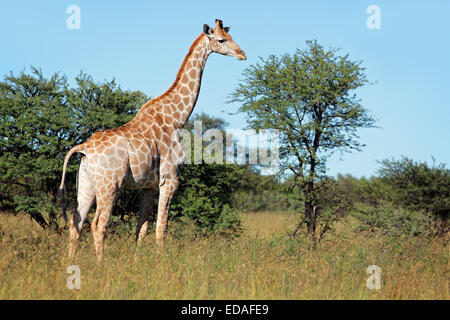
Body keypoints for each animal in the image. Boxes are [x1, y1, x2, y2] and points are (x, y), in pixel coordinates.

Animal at [58, 18, 248, 262]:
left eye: (231, 36)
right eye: (222, 39)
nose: (242, 54)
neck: (176, 119)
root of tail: (84, 149)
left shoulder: (147, 187)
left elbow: (142, 229)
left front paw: (137, 262)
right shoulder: (170, 179)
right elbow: (161, 228)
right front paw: (161, 263)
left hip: (86, 184)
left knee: (76, 224)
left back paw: (70, 265)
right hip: (110, 185)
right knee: (98, 226)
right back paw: (101, 265)